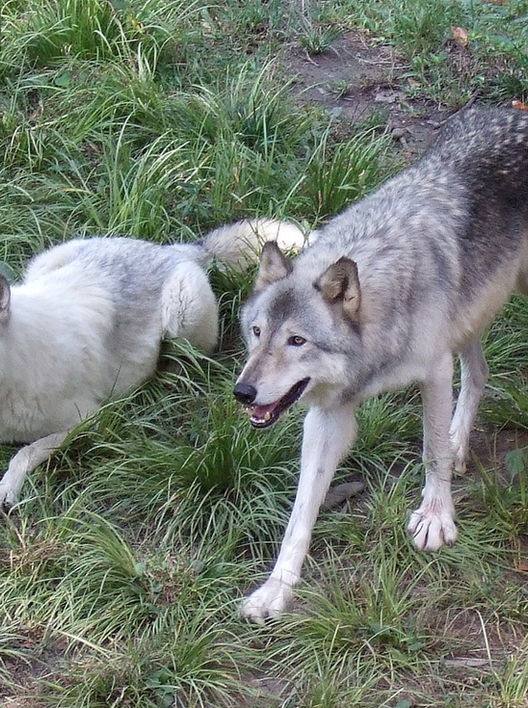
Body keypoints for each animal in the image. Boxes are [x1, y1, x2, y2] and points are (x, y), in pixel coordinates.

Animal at [0, 219, 304, 509]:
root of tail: (173, 249)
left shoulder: (88, 419)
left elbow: (25, 452)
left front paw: (7, 488)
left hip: (181, 314)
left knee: (191, 357)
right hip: (43, 265)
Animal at [234, 106, 528, 623]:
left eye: (296, 340)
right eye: (256, 332)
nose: (243, 393)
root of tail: (511, 111)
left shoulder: (434, 372)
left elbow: (431, 451)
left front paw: (435, 518)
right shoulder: (328, 416)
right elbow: (300, 513)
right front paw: (276, 588)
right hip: (467, 319)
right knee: (479, 373)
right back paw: (460, 439)